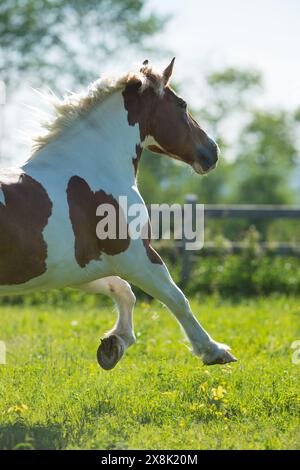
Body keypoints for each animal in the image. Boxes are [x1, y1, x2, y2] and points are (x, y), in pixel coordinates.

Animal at [0, 57, 237, 368]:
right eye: (182, 104)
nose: (212, 151)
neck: (96, 169)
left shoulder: (78, 268)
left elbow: (123, 291)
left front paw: (113, 345)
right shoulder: (136, 255)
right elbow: (176, 298)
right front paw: (215, 351)